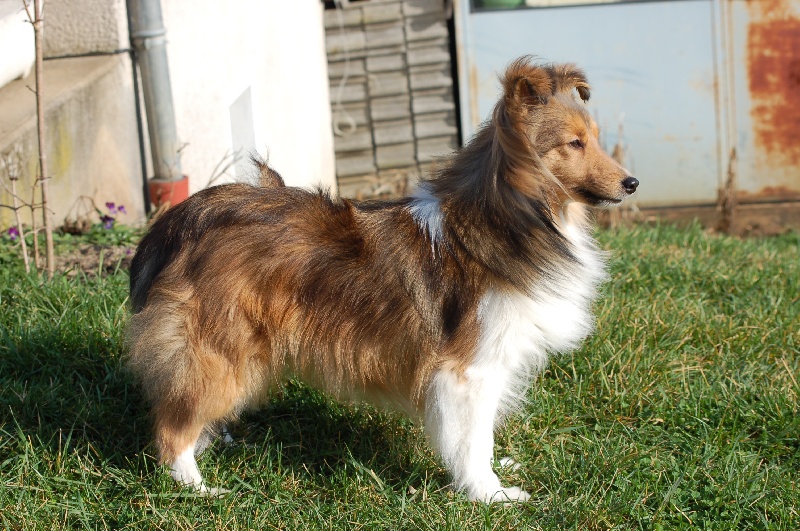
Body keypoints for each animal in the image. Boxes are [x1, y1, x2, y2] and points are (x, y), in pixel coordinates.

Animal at [125, 58, 636, 502]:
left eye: (593, 138)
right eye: (574, 143)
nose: (631, 183)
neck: (509, 220)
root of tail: (189, 218)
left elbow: (480, 437)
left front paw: (492, 474)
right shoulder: (467, 370)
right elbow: (471, 440)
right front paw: (490, 495)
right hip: (220, 348)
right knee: (170, 429)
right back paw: (198, 488)